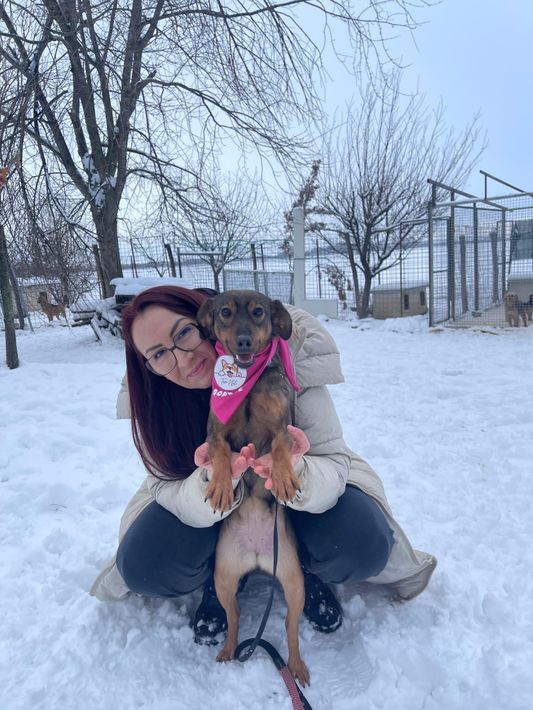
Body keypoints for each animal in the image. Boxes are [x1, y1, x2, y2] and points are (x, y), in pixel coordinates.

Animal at [197, 289, 309, 686]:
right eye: (225, 313)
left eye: (259, 312)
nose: (244, 341)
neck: (244, 386)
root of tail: (260, 558)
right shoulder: (215, 431)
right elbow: (218, 452)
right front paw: (220, 485)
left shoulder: (282, 426)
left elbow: (280, 447)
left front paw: (285, 478)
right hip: (224, 581)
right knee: (235, 619)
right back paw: (229, 651)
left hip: (294, 583)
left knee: (291, 629)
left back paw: (297, 666)